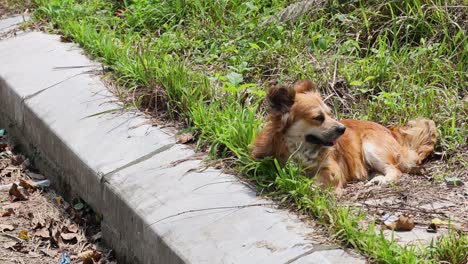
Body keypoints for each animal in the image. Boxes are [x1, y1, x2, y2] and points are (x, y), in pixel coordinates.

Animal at [250, 80, 436, 192]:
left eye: (330, 114)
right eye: (318, 118)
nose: (343, 129)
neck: (301, 149)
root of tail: (391, 131)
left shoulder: (332, 169)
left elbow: (319, 179)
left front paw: (308, 186)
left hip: (371, 146)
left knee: (395, 170)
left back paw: (381, 180)